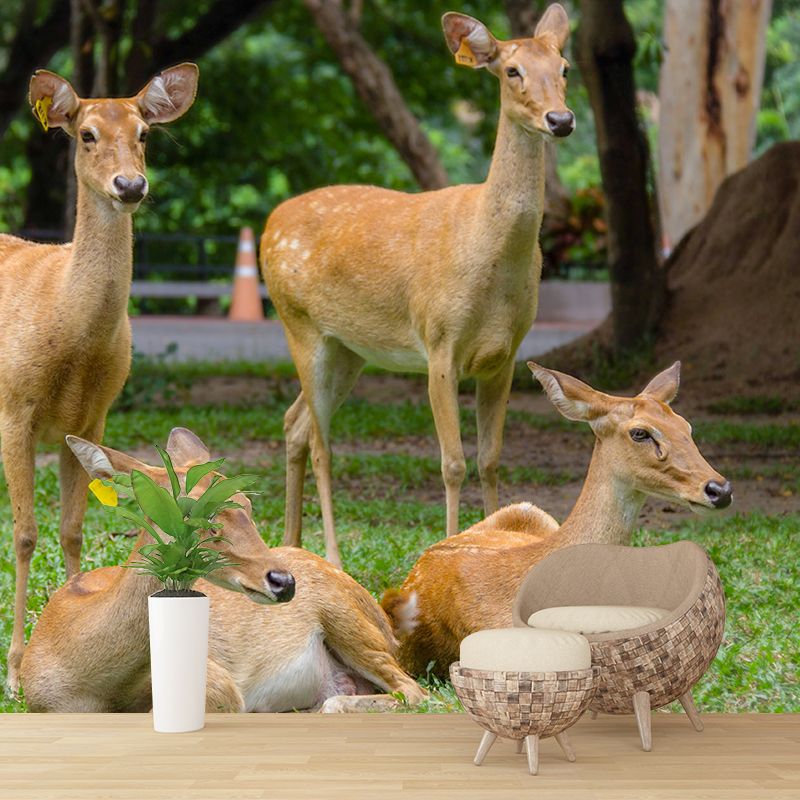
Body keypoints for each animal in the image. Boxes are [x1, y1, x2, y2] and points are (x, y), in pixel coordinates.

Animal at [1, 63, 199, 694]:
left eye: (145, 133)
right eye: (85, 133)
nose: (130, 185)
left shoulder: (91, 417)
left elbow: (71, 529)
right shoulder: (14, 407)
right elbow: (24, 534)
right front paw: (14, 671)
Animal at [20, 428, 426, 714]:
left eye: (247, 503)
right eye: (187, 511)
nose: (283, 581)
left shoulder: (218, 686)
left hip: (348, 620)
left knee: (411, 691)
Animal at [260, 5, 574, 568]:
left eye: (563, 68)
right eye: (511, 71)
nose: (560, 120)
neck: (489, 255)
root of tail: (267, 224)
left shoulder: (507, 354)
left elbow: (490, 460)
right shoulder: (439, 341)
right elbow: (452, 463)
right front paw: (445, 549)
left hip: (349, 348)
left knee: (293, 423)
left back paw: (293, 544)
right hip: (299, 323)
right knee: (319, 442)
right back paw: (332, 557)